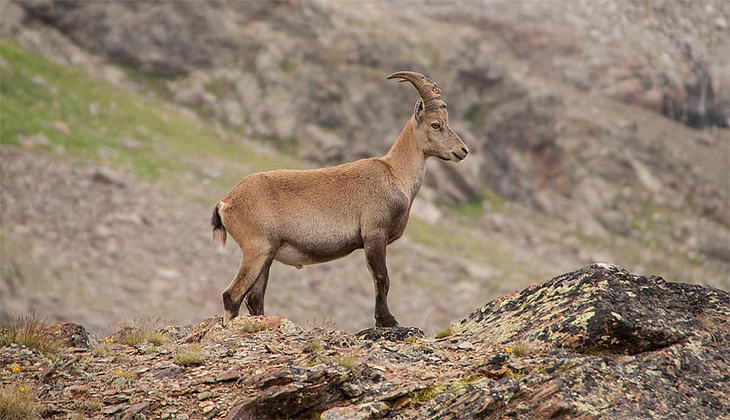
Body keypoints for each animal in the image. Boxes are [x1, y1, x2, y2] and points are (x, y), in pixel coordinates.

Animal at [210, 71, 466, 328]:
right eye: (436, 124)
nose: (463, 150)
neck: (394, 174)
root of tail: (225, 202)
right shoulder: (374, 233)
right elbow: (382, 278)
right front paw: (386, 320)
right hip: (257, 248)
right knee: (231, 295)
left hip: (266, 255)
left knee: (254, 299)